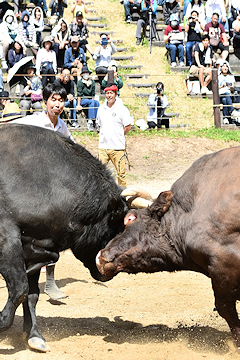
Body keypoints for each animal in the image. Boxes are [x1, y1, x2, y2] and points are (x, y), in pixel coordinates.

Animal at [0, 124, 129, 352]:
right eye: (114, 229)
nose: (111, 270)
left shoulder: (34, 242)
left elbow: (32, 293)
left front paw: (34, 335)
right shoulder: (7, 236)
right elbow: (20, 288)